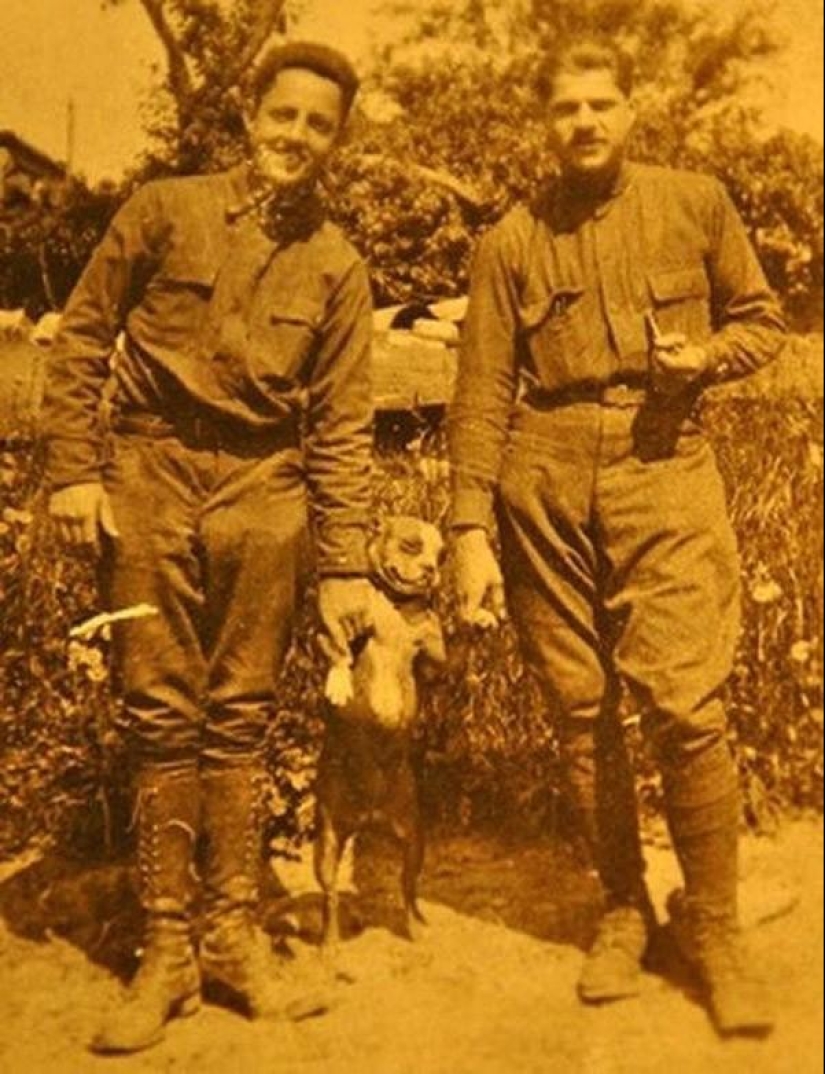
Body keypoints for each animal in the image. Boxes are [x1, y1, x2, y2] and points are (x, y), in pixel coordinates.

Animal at [313, 515, 444, 953]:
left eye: (442, 554)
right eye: (410, 545)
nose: (431, 570)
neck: (396, 605)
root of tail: (369, 817)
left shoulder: (433, 658)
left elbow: (437, 649)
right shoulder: (332, 629)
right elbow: (338, 649)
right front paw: (338, 683)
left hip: (414, 838)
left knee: (408, 889)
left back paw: (417, 928)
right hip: (328, 843)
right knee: (330, 897)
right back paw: (329, 943)